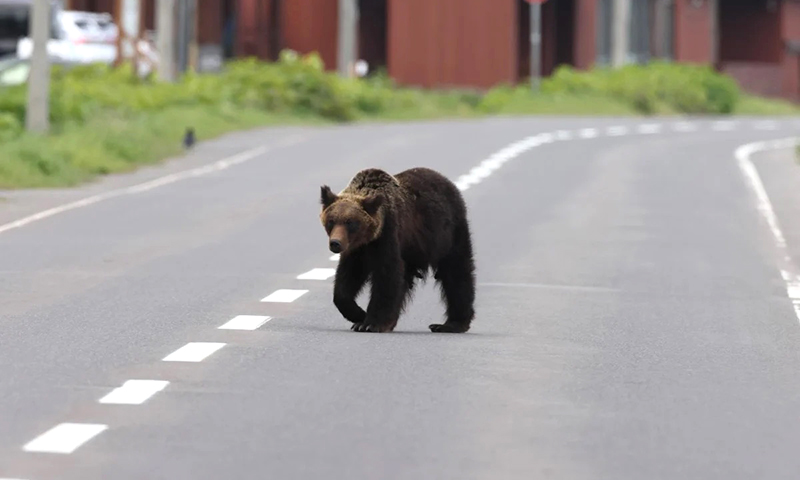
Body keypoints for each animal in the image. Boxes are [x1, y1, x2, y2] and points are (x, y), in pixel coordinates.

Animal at [318, 168, 476, 334]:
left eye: (350, 222)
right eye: (331, 221)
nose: (335, 243)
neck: (369, 238)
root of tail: (447, 181)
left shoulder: (389, 234)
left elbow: (387, 275)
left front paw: (370, 323)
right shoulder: (357, 249)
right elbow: (347, 278)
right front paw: (358, 315)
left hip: (448, 234)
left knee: (456, 272)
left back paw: (451, 324)